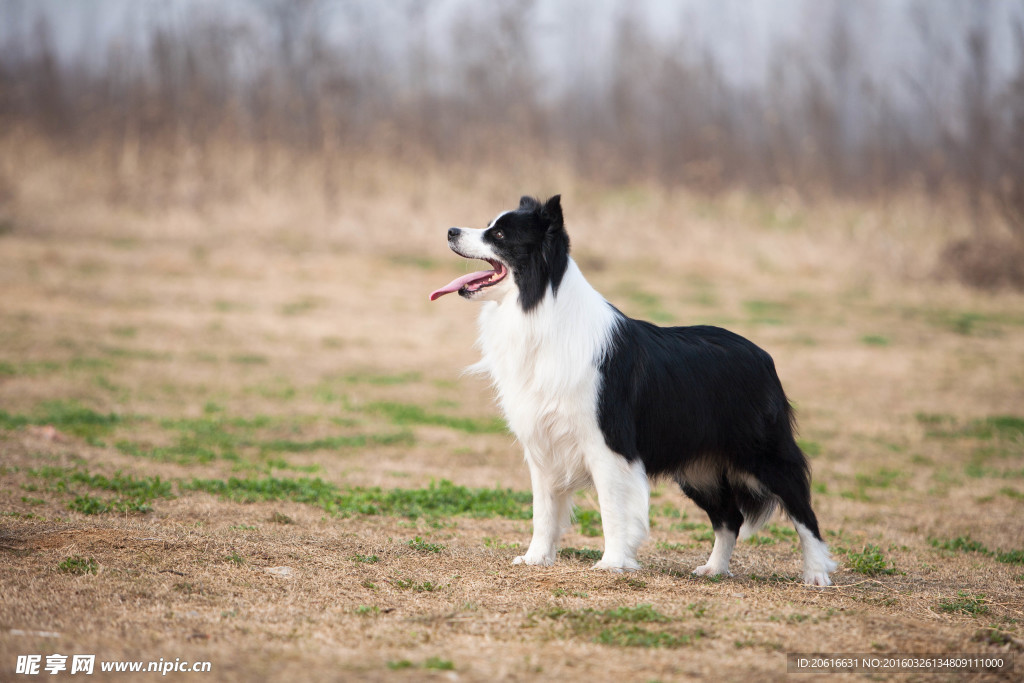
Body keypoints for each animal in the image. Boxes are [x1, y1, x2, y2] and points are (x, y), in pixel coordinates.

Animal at [428, 194, 835, 585]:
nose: (449, 230)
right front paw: (535, 558)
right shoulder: (543, 445)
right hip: (699, 470)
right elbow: (542, 510)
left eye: (498, 235)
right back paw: (714, 570)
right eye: (488, 225)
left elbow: (612, 508)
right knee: (730, 518)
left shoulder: (608, 444)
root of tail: (763, 356)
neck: (540, 309)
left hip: (763, 454)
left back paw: (816, 574)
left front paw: (612, 563)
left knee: (803, 511)